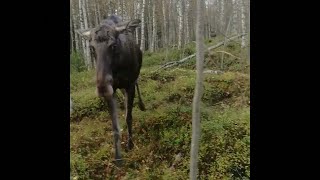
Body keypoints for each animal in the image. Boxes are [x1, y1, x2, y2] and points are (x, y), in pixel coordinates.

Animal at [75, 15, 146, 165]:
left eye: (113, 45)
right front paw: (118, 157)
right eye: (91, 48)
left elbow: (129, 117)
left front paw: (130, 145)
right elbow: (114, 126)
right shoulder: (112, 91)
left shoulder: (130, 84)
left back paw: (141, 105)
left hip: (135, 76)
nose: (102, 87)